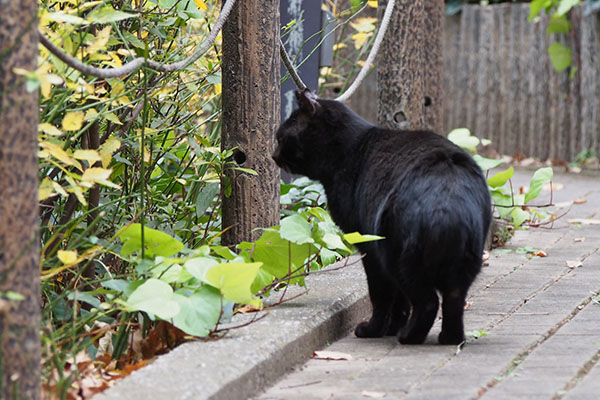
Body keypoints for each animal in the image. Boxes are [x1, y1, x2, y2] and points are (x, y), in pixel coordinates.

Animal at [274, 90, 490, 344]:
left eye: (280, 138)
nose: (273, 155)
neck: (348, 150)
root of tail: (449, 193)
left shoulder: (369, 248)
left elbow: (381, 296)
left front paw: (375, 330)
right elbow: (399, 302)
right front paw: (392, 327)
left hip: (397, 258)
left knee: (426, 301)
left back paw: (409, 336)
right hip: (464, 264)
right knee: (452, 300)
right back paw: (450, 338)